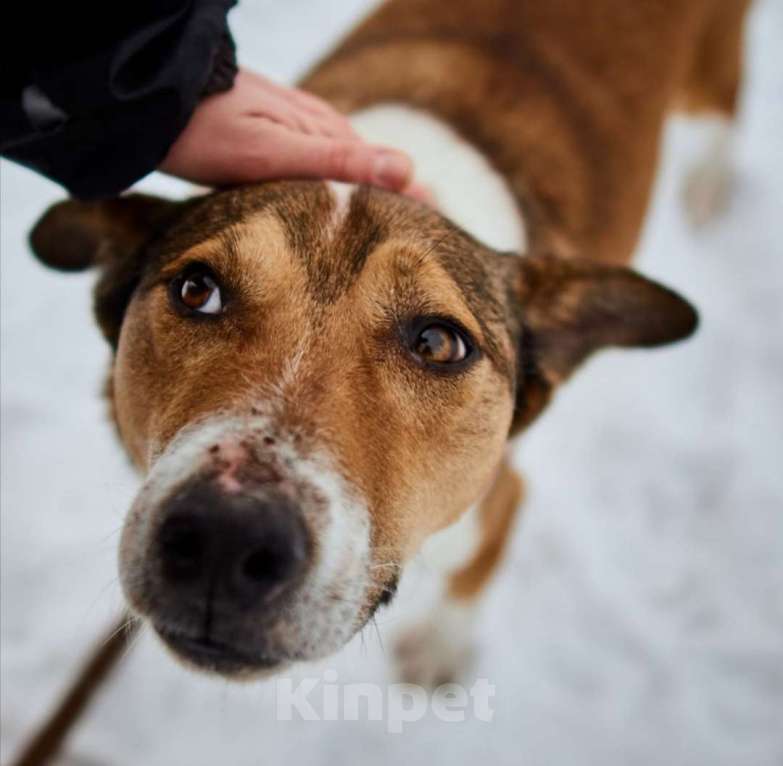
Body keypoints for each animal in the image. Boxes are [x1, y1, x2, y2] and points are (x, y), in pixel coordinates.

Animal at [27, 0, 752, 684]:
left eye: (438, 343)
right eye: (196, 290)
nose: (224, 538)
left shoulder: (495, 501)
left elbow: (480, 564)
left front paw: (438, 651)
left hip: (710, 68)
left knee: (726, 105)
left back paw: (709, 185)